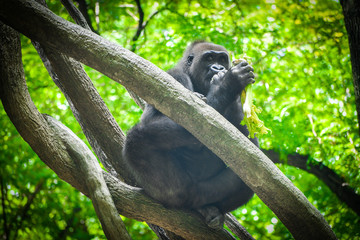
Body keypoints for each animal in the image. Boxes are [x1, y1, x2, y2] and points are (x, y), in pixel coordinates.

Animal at [124, 40, 258, 229]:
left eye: (222, 60)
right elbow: (158, 119)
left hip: (205, 192)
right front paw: (227, 83)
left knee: (250, 177)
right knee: (137, 139)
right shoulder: (173, 76)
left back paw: (210, 209)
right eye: (209, 58)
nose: (218, 68)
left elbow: (251, 151)